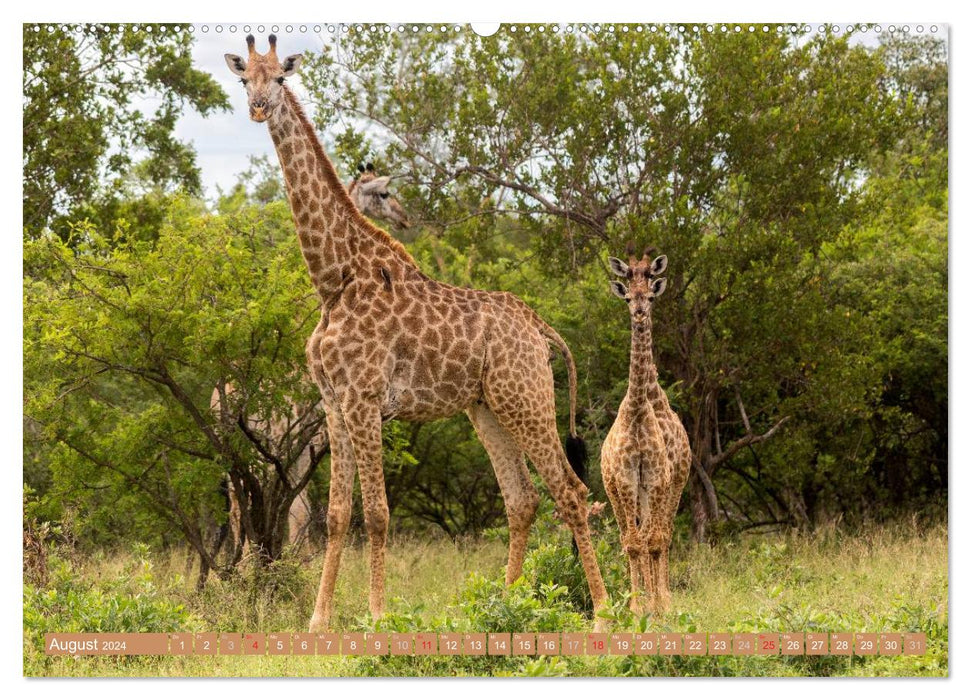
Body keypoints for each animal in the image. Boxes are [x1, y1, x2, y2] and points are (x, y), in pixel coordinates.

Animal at [226, 35, 608, 632]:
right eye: (245, 80)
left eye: (282, 79)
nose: (260, 108)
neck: (333, 280)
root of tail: (541, 328)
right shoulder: (333, 403)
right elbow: (338, 515)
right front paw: (318, 620)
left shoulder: (363, 400)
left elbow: (379, 515)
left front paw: (379, 616)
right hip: (486, 406)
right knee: (522, 499)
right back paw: (506, 607)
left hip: (526, 398)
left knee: (570, 490)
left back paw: (605, 615)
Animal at [600, 245, 692, 612]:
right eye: (628, 296)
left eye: (650, 295)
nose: (639, 314)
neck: (640, 408)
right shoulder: (626, 480)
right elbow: (634, 542)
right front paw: (639, 607)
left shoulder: (658, 478)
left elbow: (654, 540)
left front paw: (659, 604)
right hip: (617, 489)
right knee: (630, 538)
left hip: (671, 484)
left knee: (661, 536)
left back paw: (660, 597)